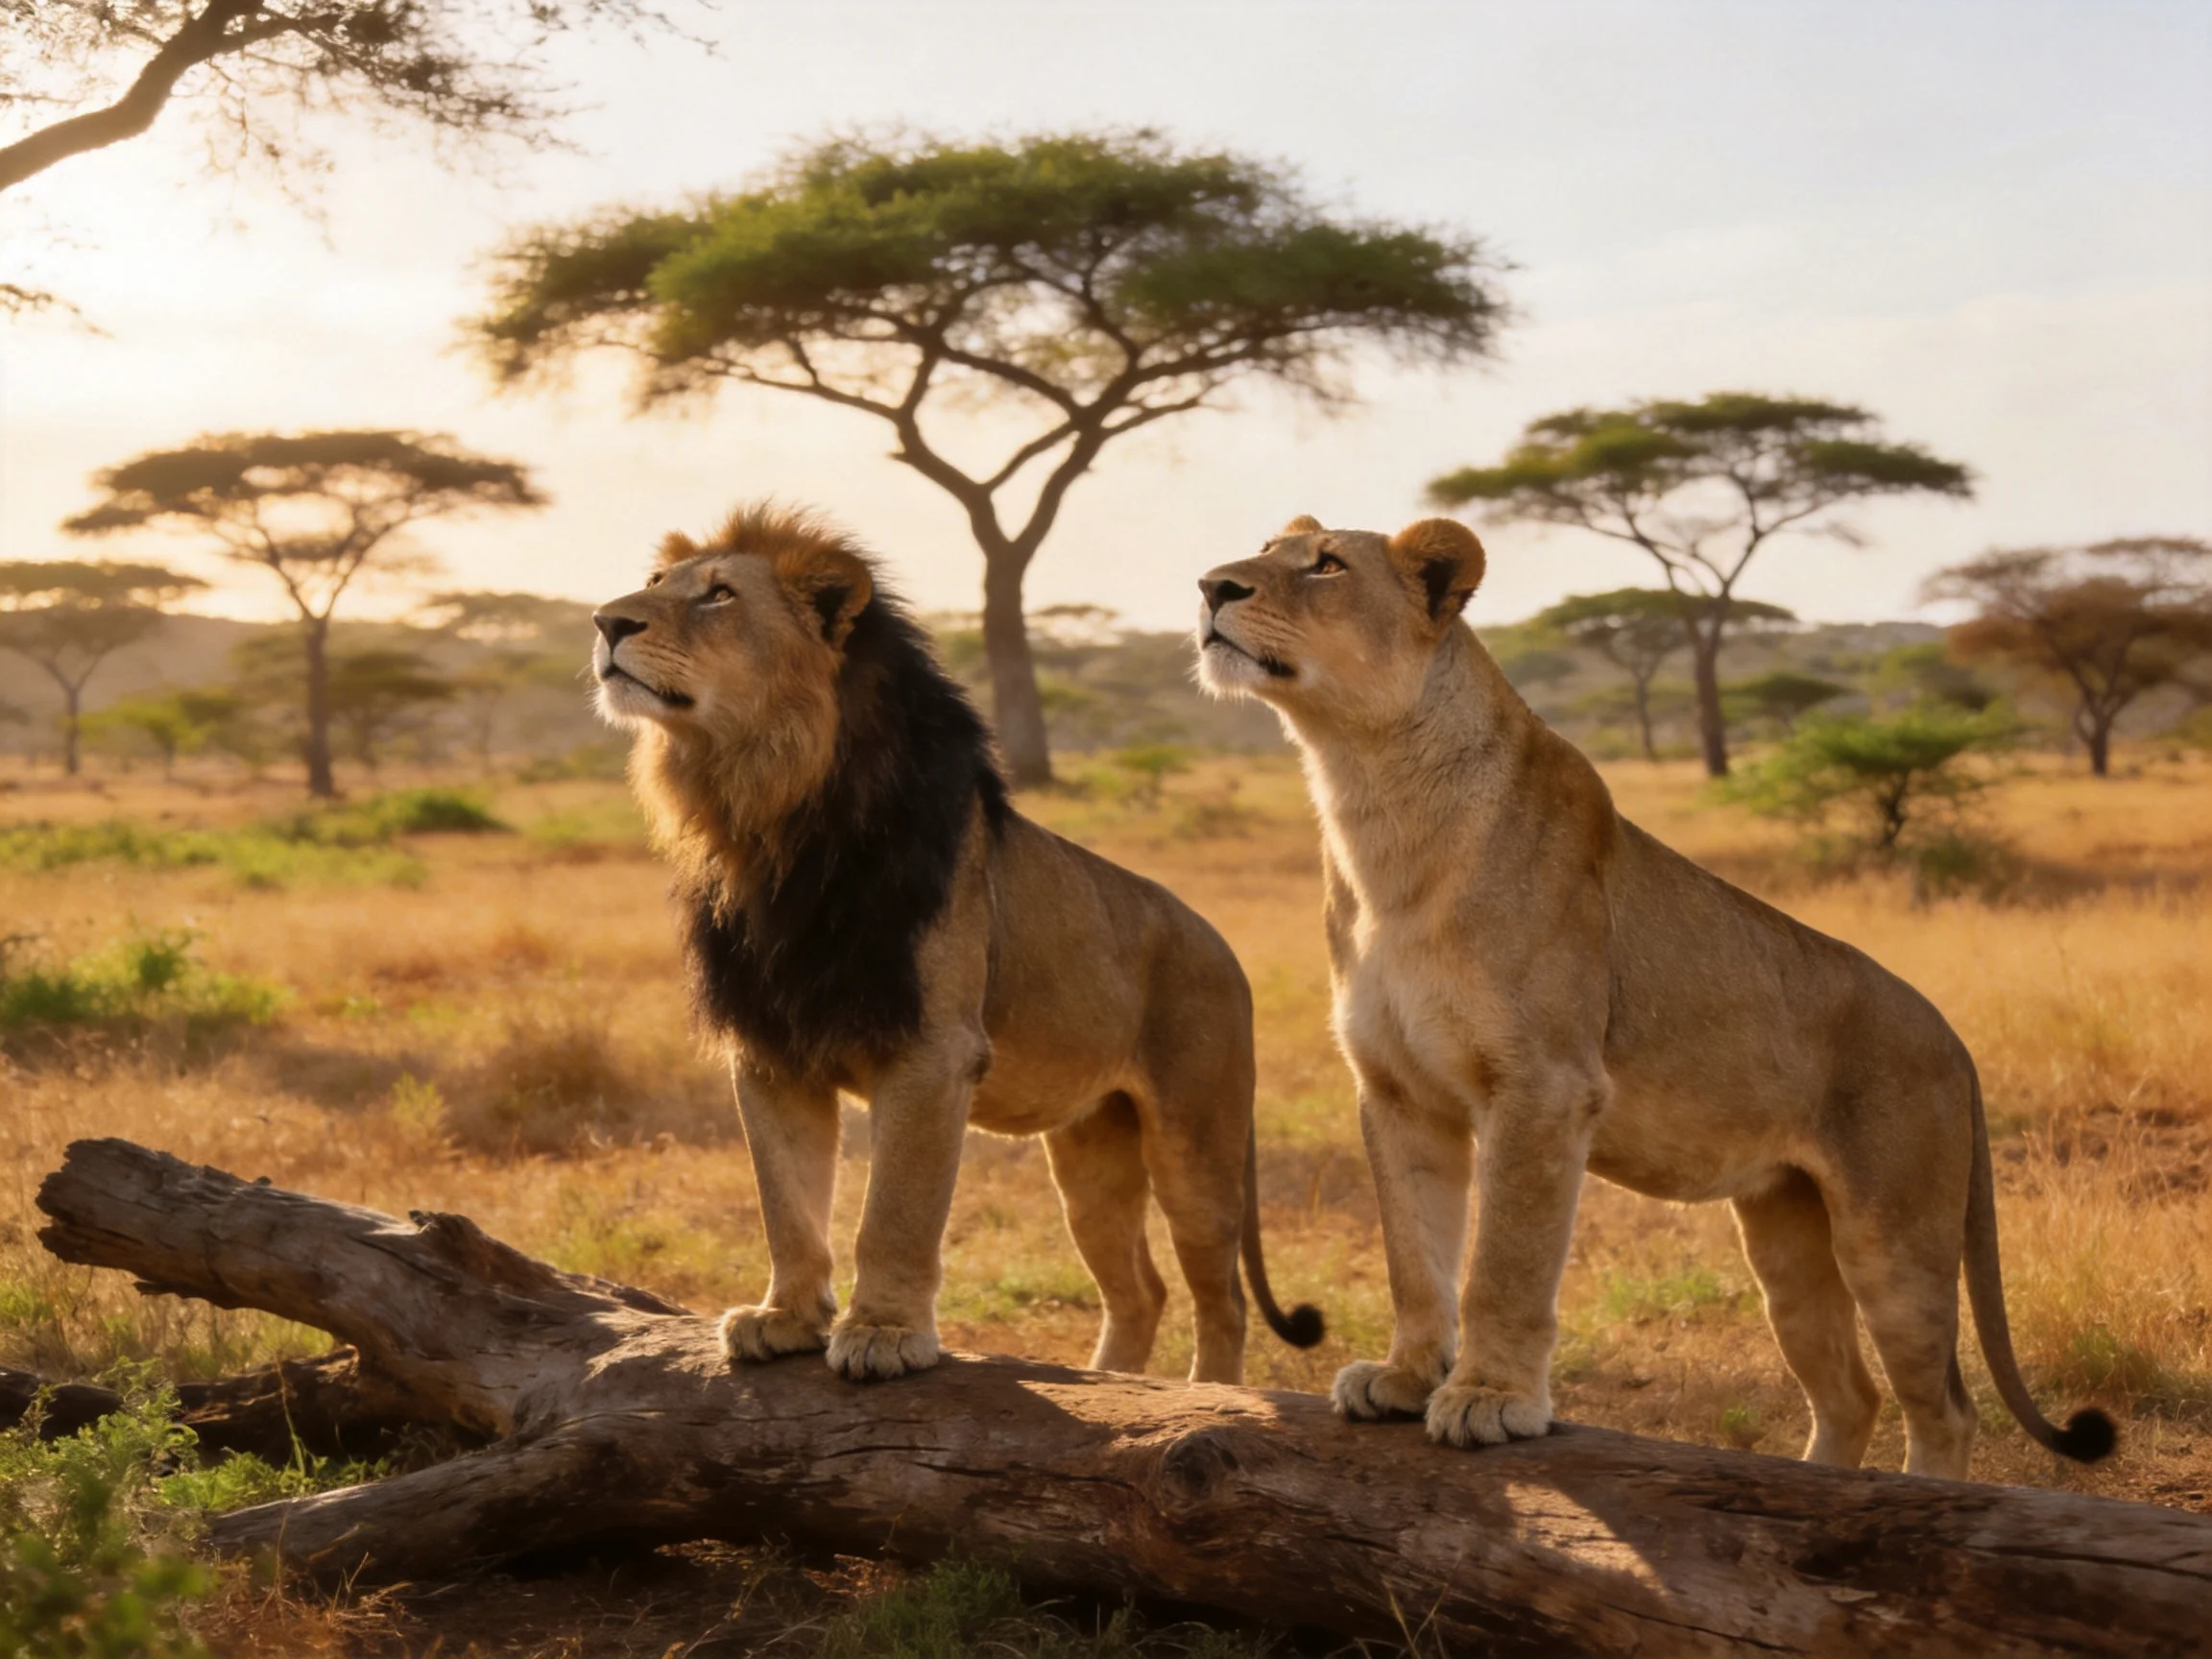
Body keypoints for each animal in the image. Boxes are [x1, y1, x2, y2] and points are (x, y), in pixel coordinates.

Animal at [589, 503, 1321, 1385]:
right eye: (655, 583)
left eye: (719, 595)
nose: (606, 620)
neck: (768, 811)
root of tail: (1222, 945)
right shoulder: (770, 1048)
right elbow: (787, 1203)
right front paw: (785, 1318)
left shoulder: (932, 1050)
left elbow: (894, 1212)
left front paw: (883, 1332)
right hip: (1090, 1150)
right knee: (1138, 1289)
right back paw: (1109, 1380)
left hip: (1196, 1139)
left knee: (1221, 1296)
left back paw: (1204, 1394)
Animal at [1194, 514, 2113, 1479]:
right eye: (1268, 552)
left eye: (1327, 566)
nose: (1212, 586)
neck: (1369, 793)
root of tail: (1952, 1037)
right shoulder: (1399, 1091)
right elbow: (1414, 1255)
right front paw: (1405, 1380)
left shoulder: (1545, 1086)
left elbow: (1504, 1263)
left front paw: (1489, 1398)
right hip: (1784, 1234)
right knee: (1848, 1393)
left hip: (1893, 1236)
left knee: (1943, 1409)